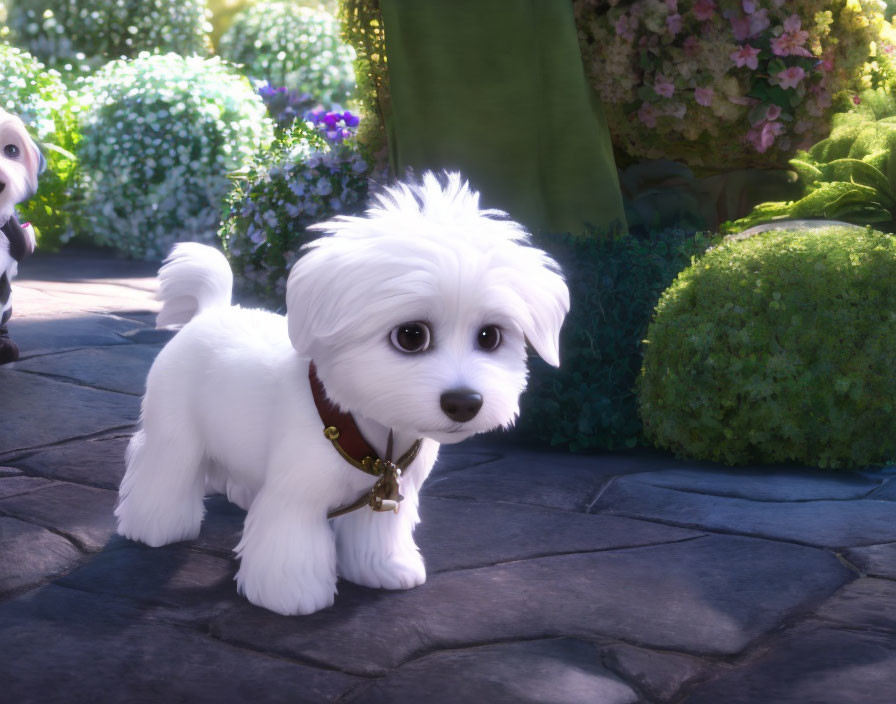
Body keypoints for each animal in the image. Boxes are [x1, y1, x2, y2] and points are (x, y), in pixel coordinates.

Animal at [115, 172, 572, 616]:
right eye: (411, 336)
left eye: (490, 336)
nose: (464, 403)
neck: (372, 430)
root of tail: (210, 311)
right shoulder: (296, 494)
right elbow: (290, 544)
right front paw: (291, 595)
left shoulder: (386, 498)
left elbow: (377, 537)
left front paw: (386, 570)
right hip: (175, 433)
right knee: (164, 470)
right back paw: (155, 527)